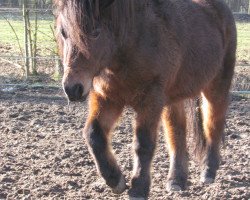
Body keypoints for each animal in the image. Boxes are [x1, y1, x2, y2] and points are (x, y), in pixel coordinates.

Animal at [54, 0, 236, 199]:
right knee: (177, 131)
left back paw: (208, 171)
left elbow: (143, 143)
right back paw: (176, 180)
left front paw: (139, 188)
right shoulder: (107, 98)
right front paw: (115, 180)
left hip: (216, 86)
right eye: (63, 32)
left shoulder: (150, 100)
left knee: (213, 124)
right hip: (173, 98)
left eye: (95, 32)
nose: (72, 89)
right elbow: (93, 134)